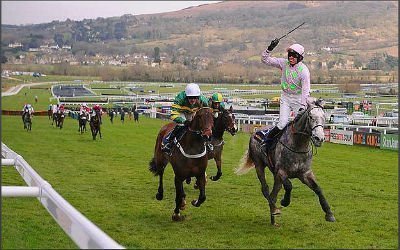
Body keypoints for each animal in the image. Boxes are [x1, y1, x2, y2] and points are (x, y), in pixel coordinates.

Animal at [236, 97, 336, 227]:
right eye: (310, 117)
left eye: (324, 116)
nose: (319, 138)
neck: (298, 145)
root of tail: (256, 132)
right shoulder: (281, 171)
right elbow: (289, 185)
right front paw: (285, 201)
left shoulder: (305, 173)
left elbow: (318, 188)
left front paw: (329, 213)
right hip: (259, 165)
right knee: (265, 189)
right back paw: (275, 209)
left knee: (273, 194)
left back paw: (273, 220)